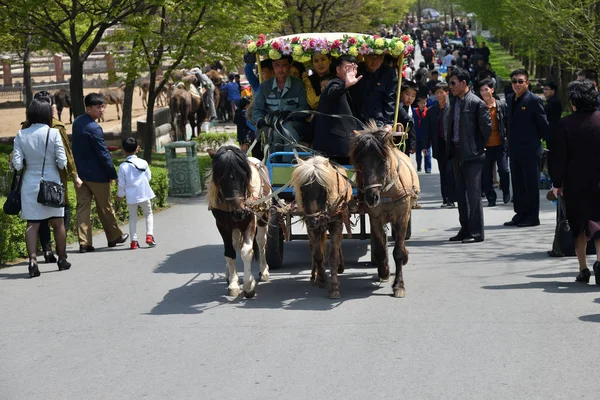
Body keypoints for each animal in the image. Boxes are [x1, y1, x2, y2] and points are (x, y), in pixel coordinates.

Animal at [207, 145, 270, 298]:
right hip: (234, 227)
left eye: (244, 176)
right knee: (234, 244)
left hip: (263, 216)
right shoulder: (222, 225)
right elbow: (229, 252)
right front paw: (234, 284)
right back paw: (229, 275)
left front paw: (249, 285)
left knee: (261, 242)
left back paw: (264, 271)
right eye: (221, 178)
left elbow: (247, 251)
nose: (239, 212)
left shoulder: (250, 221)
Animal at [290, 155, 352, 298]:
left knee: (338, 244)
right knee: (313, 248)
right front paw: (322, 277)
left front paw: (334, 288)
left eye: (323, 190)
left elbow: (333, 256)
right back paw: (314, 276)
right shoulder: (311, 227)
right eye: (302, 190)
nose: (314, 220)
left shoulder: (336, 223)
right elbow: (317, 254)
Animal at [350, 122, 420, 296]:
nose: (371, 197)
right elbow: (381, 249)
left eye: (383, 161)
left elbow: (398, 251)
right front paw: (384, 272)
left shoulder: (402, 217)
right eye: (360, 163)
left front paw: (399, 285)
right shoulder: (375, 218)